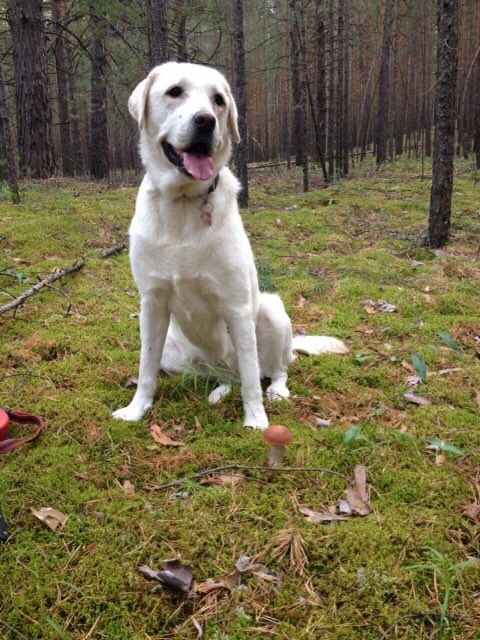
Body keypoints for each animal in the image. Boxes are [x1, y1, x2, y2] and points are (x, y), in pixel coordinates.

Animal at [113, 62, 344, 430]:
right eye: (174, 91)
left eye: (218, 100)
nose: (206, 120)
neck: (184, 202)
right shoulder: (152, 303)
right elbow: (146, 369)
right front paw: (136, 409)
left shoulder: (236, 307)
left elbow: (251, 378)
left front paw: (256, 420)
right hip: (174, 349)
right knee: (225, 376)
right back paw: (219, 390)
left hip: (271, 311)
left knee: (270, 370)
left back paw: (276, 390)